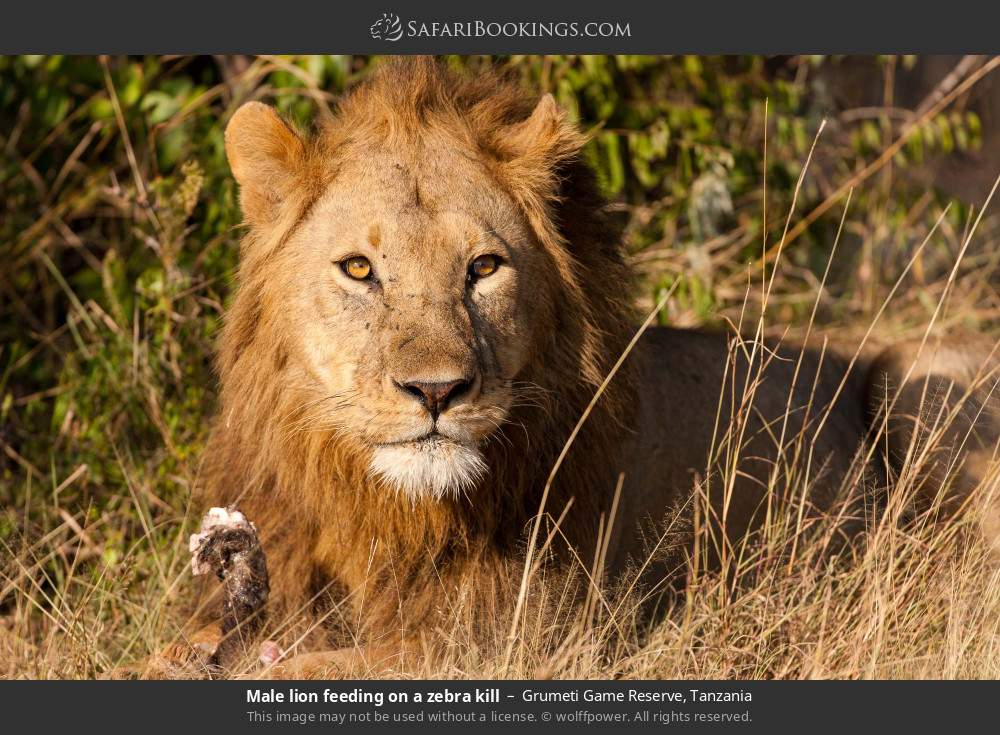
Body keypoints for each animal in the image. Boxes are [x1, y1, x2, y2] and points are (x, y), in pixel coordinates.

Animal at [123, 58, 1000, 678]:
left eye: (483, 267)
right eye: (360, 270)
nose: (436, 390)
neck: (382, 503)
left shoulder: (534, 633)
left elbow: (330, 665)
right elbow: (162, 652)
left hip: (915, 379)